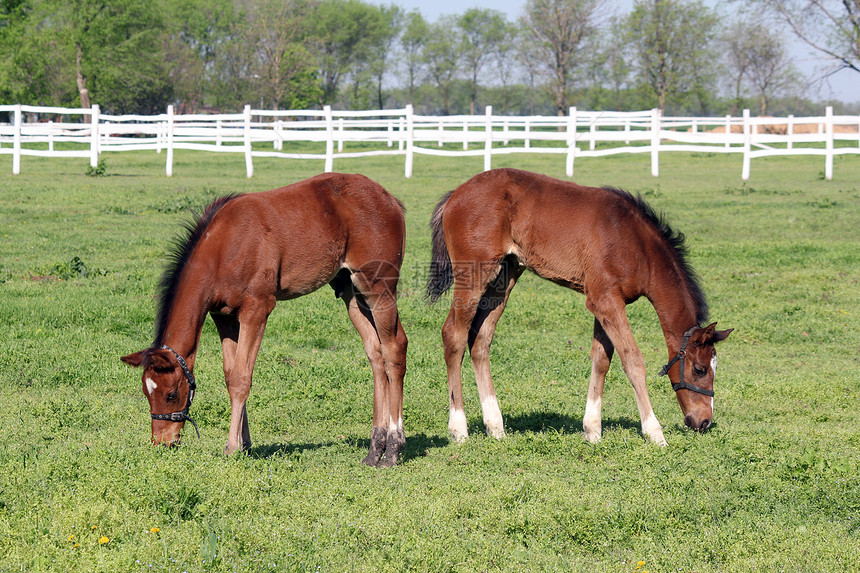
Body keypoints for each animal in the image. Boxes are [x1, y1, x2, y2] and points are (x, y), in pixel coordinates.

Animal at [120, 173, 410, 464]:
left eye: (171, 394)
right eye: (146, 392)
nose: (162, 442)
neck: (224, 247)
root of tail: (389, 199)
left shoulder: (257, 309)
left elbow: (241, 377)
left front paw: (232, 447)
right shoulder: (223, 317)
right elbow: (230, 375)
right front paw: (244, 443)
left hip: (378, 287)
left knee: (394, 346)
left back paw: (393, 449)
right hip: (351, 290)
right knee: (375, 352)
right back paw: (375, 449)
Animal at [426, 168, 728, 444]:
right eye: (700, 369)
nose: (704, 421)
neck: (636, 244)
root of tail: (455, 195)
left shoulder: (606, 302)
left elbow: (602, 360)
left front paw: (593, 430)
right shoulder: (607, 301)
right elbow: (632, 360)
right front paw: (654, 433)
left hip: (506, 274)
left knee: (480, 339)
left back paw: (496, 427)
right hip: (474, 274)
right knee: (453, 334)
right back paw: (459, 430)